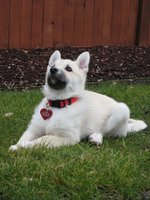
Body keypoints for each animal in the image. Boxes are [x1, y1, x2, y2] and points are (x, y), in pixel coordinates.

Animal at [9, 50, 148, 150]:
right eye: (52, 66)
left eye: (68, 69)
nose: (52, 70)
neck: (58, 103)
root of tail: (126, 128)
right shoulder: (33, 129)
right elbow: (24, 137)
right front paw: (17, 146)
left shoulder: (68, 137)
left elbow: (43, 139)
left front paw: (25, 146)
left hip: (121, 109)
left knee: (103, 131)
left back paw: (96, 137)